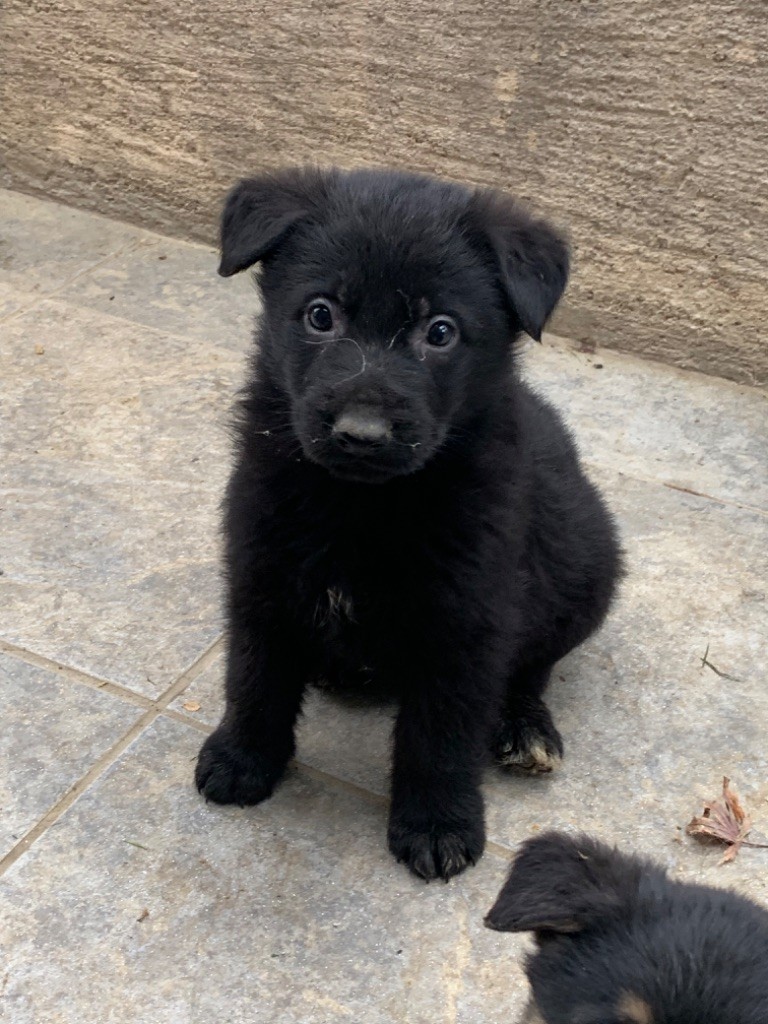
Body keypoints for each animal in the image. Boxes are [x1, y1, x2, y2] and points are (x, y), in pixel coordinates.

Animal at [195, 165, 622, 880]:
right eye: (320, 314)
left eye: (440, 332)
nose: (361, 434)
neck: (363, 505)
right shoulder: (261, 572)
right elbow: (254, 678)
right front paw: (241, 758)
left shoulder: (468, 618)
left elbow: (441, 733)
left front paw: (437, 824)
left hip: (586, 569)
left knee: (532, 667)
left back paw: (524, 726)